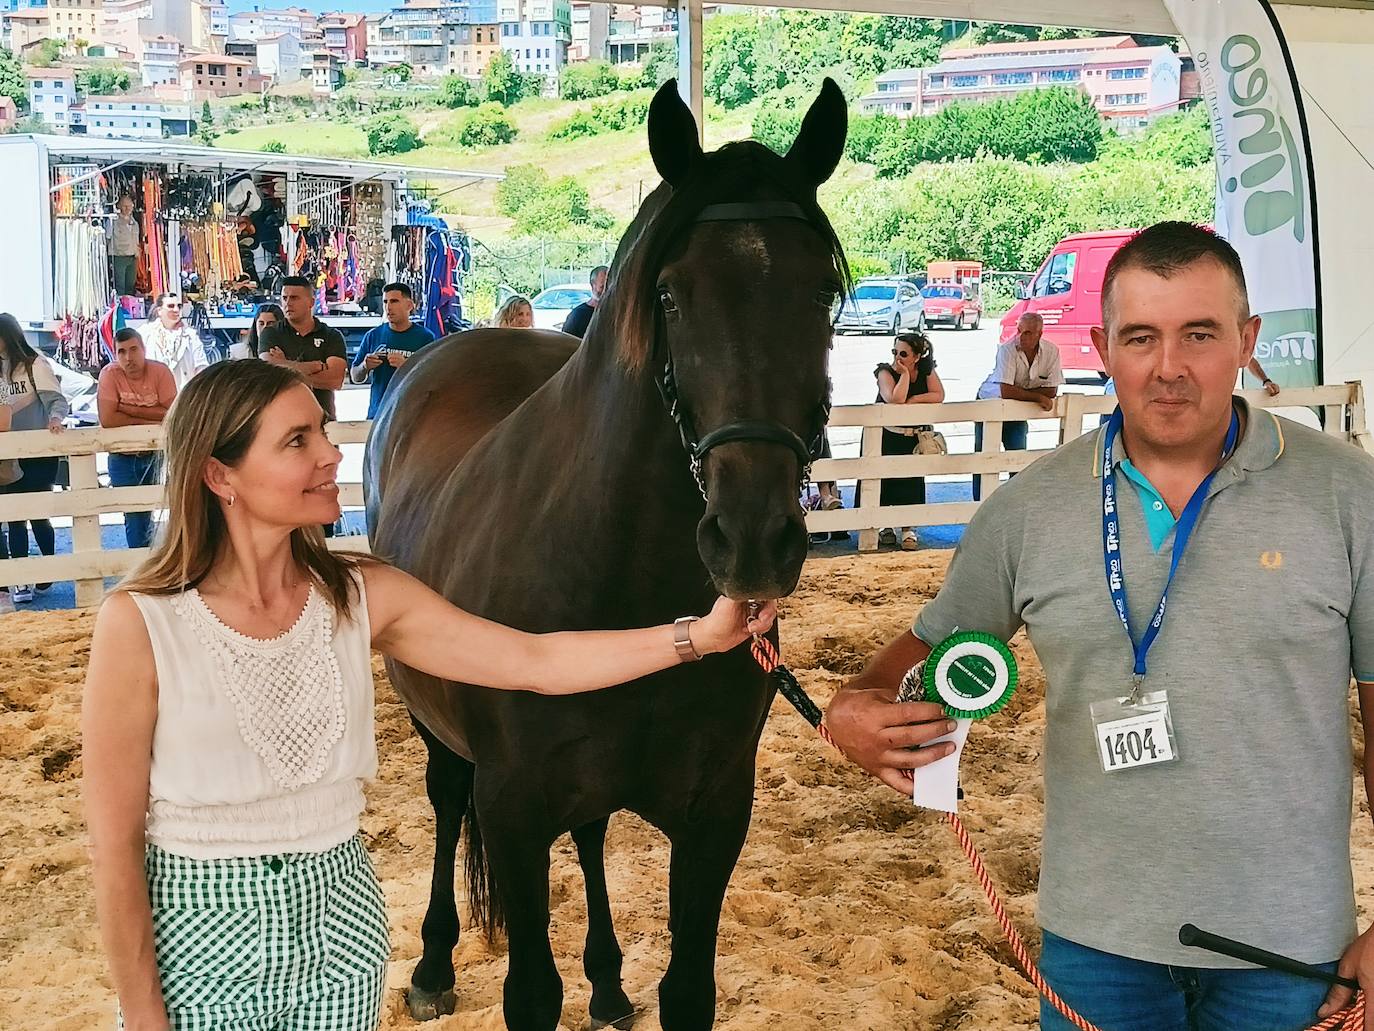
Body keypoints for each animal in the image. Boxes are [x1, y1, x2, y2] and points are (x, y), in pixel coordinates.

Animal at [363, 78, 849, 1031]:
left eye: (822, 292)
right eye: (670, 294)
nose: (752, 539)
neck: (615, 574)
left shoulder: (716, 817)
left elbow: (687, 991)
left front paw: (620, 979)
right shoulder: (513, 814)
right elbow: (531, 993)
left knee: (589, 835)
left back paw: (610, 977)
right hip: (439, 734)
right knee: (445, 801)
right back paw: (434, 963)